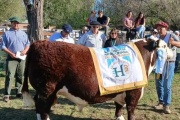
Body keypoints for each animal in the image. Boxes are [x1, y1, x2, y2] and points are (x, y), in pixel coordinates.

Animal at [22, 39, 169, 119]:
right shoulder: (134, 93)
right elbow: (130, 112)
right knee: (43, 109)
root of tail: (40, 43)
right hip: (48, 89)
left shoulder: (120, 92)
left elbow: (119, 110)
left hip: (43, 91)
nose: (172, 53)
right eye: (165, 46)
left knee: (38, 106)